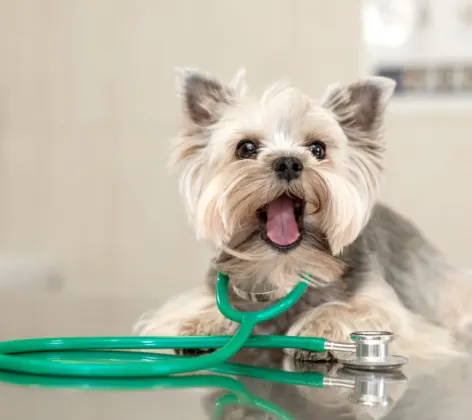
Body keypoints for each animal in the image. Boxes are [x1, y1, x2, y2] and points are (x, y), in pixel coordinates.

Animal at [133, 67, 472, 360]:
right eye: (246, 148)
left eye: (318, 149)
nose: (288, 162)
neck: (284, 267)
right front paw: (201, 320)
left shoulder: (392, 311)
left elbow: (363, 311)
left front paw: (320, 324)